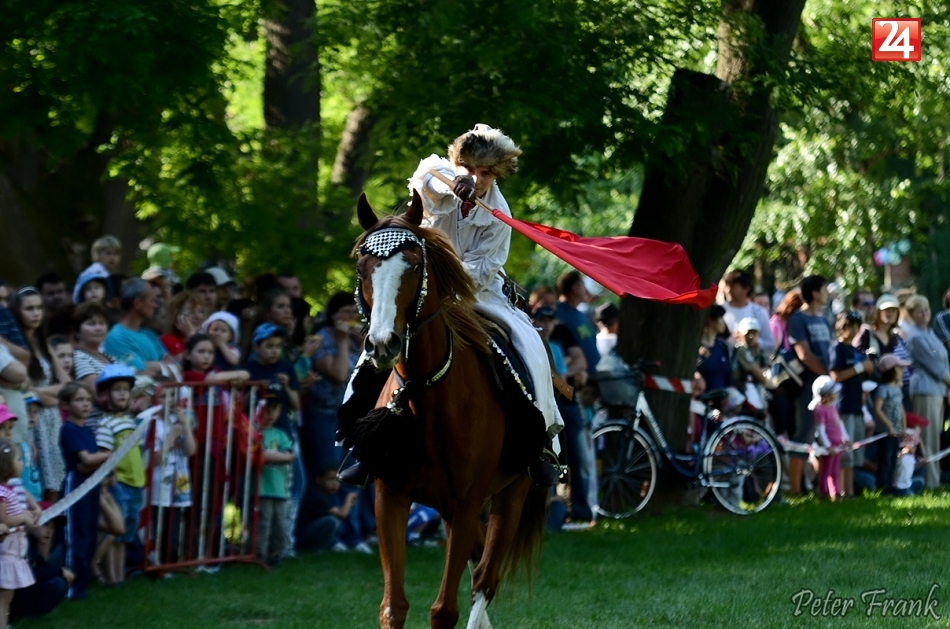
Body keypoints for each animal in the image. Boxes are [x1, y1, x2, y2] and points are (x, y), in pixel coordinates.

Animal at [351, 190, 548, 629]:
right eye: (362, 267)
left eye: (413, 265)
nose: (383, 344)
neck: (428, 396)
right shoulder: (391, 497)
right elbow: (393, 607)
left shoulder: (467, 502)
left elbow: (445, 610)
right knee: (478, 566)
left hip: (512, 493)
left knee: (485, 578)